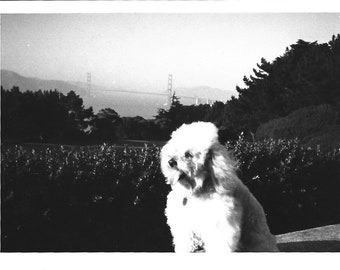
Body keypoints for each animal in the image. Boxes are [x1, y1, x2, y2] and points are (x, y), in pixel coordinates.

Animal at [161, 121, 278, 252]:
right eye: (175, 149)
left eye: (188, 154)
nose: (170, 162)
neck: (198, 189)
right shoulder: (182, 220)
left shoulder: (220, 220)